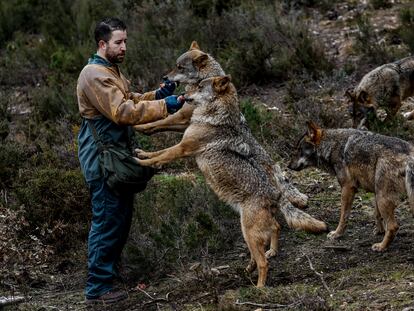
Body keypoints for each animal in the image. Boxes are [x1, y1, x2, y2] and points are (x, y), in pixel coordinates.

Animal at [134, 41, 308, 211]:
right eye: (175, 65)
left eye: (180, 67)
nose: (164, 77)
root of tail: (274, 169)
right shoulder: (186, 123)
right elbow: (160, 127)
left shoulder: (182, 118)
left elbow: (159, 123)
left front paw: (139, 127)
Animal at [134, 75, 328, 288]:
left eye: (199, 87)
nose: (183, 94)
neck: (215, 117)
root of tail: (274, 193)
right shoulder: (182, 145)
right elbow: (158, 153)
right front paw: (141, 152)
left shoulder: (183, 148)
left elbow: (160, 155)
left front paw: (140, 160)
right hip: (250, 230)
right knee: (274, 232)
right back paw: (257, 262)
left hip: (248, 232)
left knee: (264, 262)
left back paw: (259, 288)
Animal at [288, 120, 414, 252]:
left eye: (299, 149)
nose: (288, 166)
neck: (331, 146)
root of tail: (409, 157)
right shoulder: (374, 192)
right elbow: (376, 214)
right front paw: (379, 231)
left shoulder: (347, 188)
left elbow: (344, 215)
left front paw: (337, 234)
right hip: (384, 196)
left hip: (383, 198)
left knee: (393, 226)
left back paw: (381, 247)